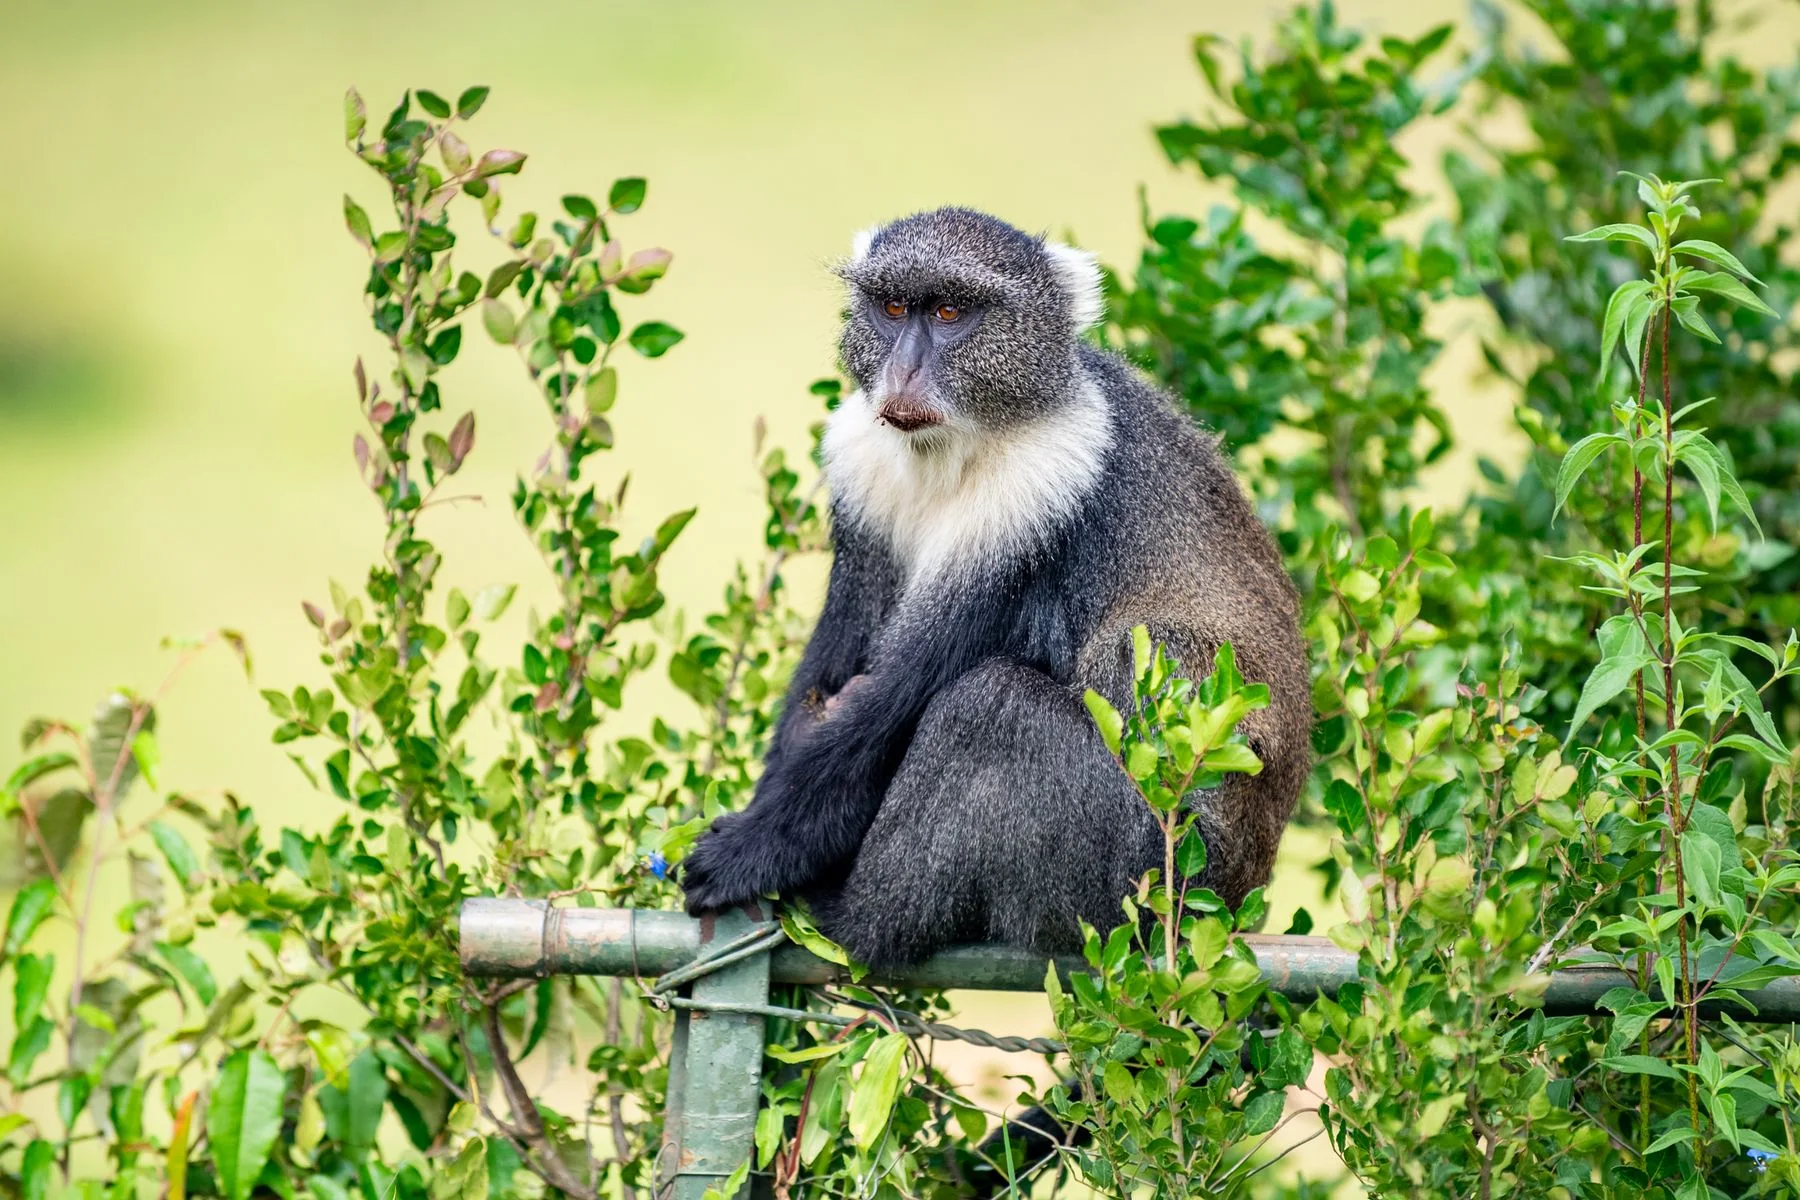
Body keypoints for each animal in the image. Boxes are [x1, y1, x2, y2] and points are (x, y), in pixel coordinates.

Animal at [680, 207, 1310, 970]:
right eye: (894, 308)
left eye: (952, 312)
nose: (903, 371)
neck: (955, 448)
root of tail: (1238, 895)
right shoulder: (861, 479)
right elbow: (832, 666)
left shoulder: (1039, 496)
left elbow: (885, 713)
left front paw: (753, 851)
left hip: (1141, 879)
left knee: (992, 708)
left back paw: (854, 920)